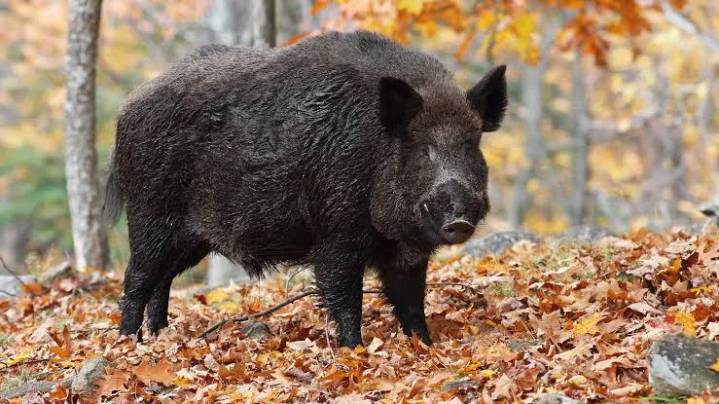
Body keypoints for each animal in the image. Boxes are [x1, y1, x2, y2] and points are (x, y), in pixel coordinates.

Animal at [104, 31, 507, 347]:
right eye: (422, 149)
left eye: (472, 145)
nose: (458, 218)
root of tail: (127, 108)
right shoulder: (336, 235)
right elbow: (345, 298)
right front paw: (353, 350)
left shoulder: (405, 252)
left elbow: (411, 302)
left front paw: (425, 345)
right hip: (150, 214)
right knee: (137, 277)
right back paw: (129, 342)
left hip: (190, 238)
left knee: (162, 280)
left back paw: (159, 335)